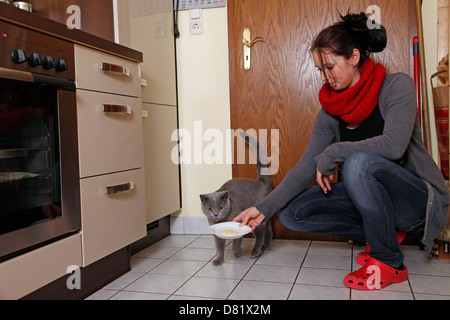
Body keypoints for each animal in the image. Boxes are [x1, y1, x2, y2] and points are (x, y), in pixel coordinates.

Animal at [201, 131, 272, 266]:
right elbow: (219, 247)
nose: (216, 214)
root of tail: (261, 182)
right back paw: (266, 246)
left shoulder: (238, 222)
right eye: (210, 209)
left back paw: (255, 252)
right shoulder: (215, 233)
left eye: (220, 207)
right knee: (269, 229)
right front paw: (218, 260)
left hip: (257, 217)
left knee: (261, 232)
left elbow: (236, 242)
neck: (222, 220)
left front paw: (237, 253)